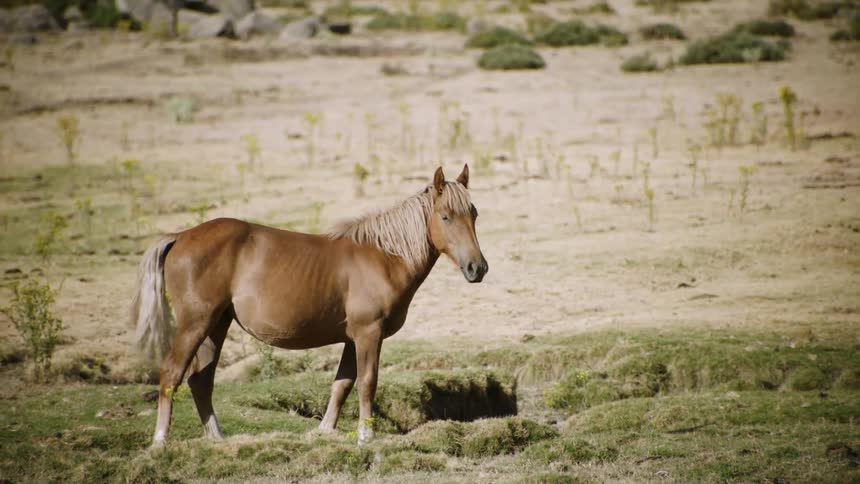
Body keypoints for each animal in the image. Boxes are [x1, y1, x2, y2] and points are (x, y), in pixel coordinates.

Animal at [130, 164, 488, 447]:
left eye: (474, 214)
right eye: (446, 217)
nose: (477, 268)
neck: (383, 257)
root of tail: (181, 235)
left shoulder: (352, 338)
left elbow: (342, 384)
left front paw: (324, 431)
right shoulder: (368, 334)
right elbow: (367, 382)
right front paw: (366, 436)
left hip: (216, 325)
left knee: (200, 380)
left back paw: (216, 438)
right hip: (196, 323)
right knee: (171, 373)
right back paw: (160, 442)